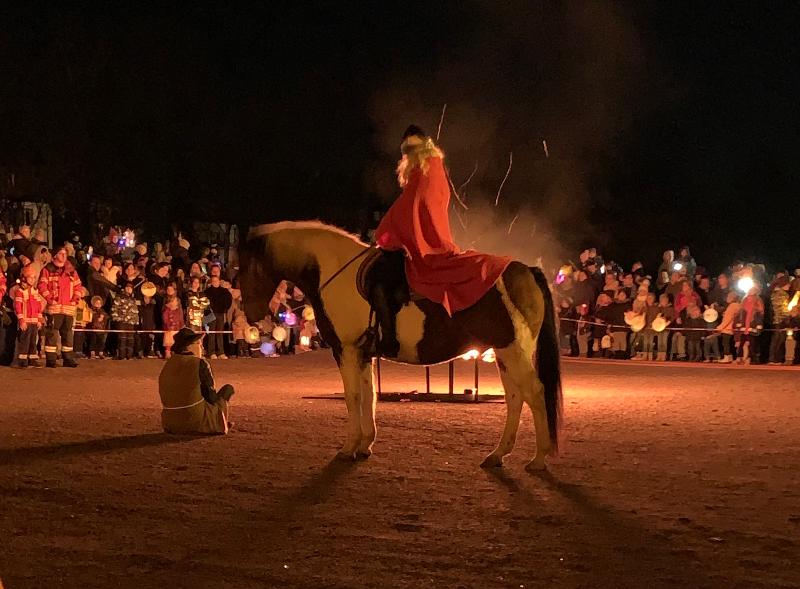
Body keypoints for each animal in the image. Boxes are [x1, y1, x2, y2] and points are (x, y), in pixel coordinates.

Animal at [238, 219, 564, 468]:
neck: (333, 270)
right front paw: (365, 445)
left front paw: (349, 447)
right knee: (515, 398)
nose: (251, 315)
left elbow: (353, 397)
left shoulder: (347, 350)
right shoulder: (363, 354)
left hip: (513, 351)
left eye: (246, 267)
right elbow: (369, 395)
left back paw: (539, 459)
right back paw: (498, 455)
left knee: (535, 393)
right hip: (504, 353)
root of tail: (525, 270)